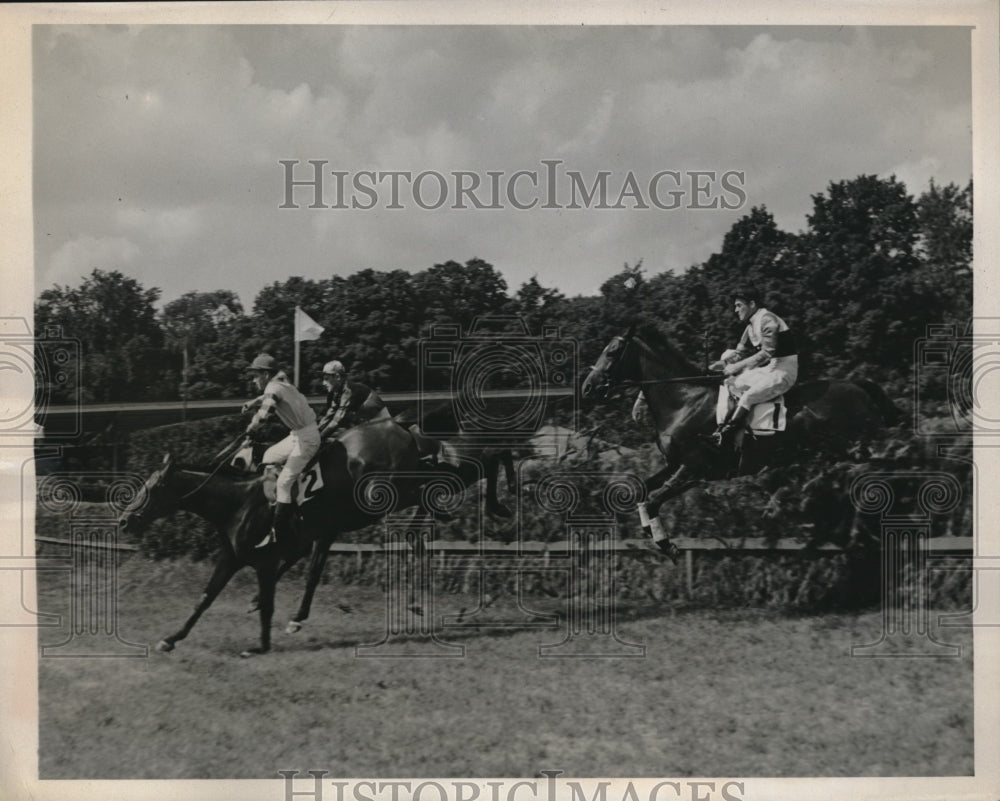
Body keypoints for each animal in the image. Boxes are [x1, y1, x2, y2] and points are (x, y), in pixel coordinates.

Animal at [119, 418, 516, 656]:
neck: (237, 501)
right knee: (464, 470)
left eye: (150, 489)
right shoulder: (235, 557)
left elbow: (270, 601)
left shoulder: (268, 559)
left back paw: (498, 501)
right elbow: (205, 598)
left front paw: (261, 644)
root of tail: (401, 428)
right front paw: (170, 639)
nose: (124, 521)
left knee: (465, 470)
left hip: (385, 489)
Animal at [580, 324, 900, 556]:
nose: (587, 387)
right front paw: (651, 533)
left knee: (872, 479)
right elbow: (641, 493)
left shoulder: (695, 469)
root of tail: (859, 386)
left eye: (612, 352)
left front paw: (665, 544)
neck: (684, 400)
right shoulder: (675, 464)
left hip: (850, 451)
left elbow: (653, 500)